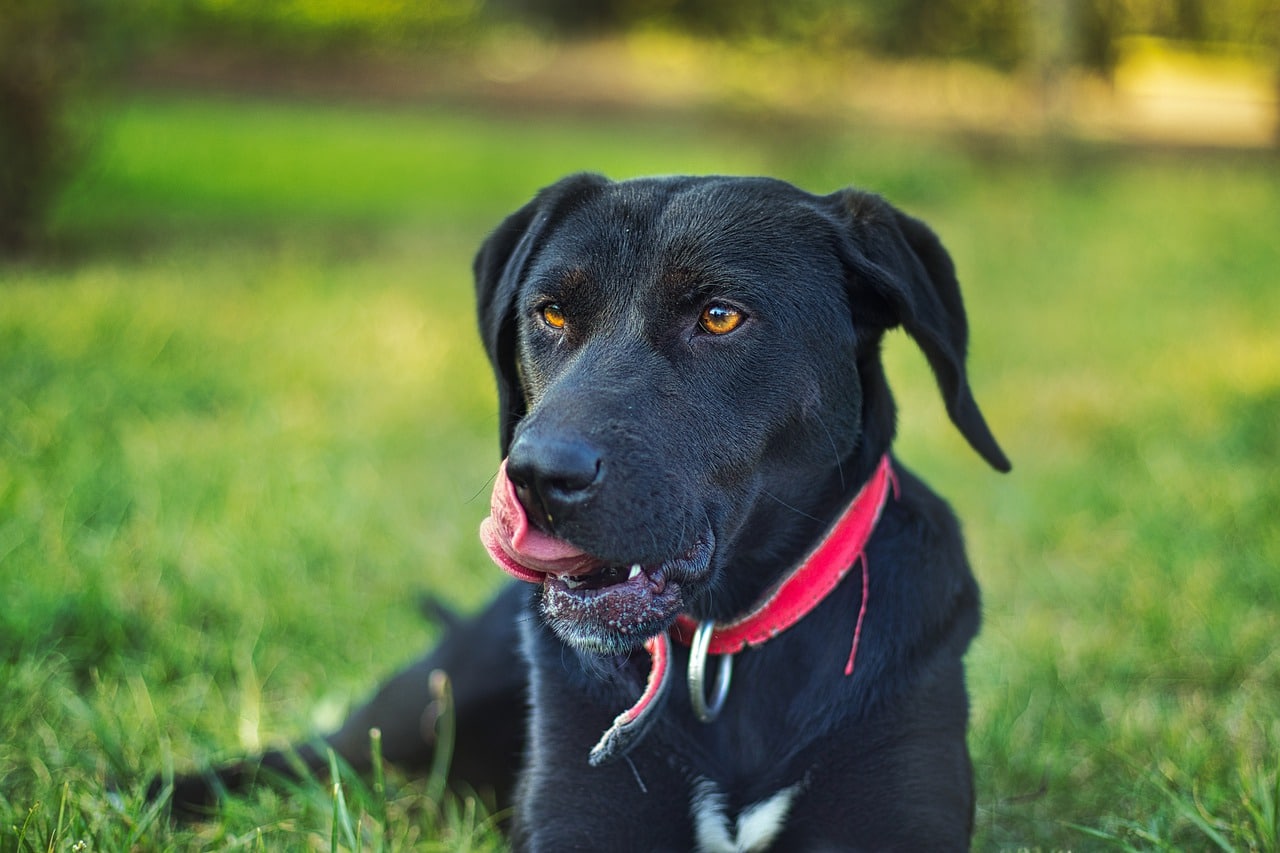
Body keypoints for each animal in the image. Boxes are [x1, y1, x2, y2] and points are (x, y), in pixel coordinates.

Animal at [162, 174, 1008, 850]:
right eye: (552, 314)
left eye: (721, 316)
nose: (536, 476)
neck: (723, 652)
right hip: (426, 697)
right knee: (309, 751)